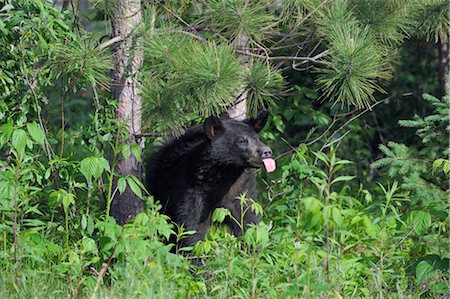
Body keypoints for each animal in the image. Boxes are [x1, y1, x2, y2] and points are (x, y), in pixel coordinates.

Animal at [146, 111, 276, 247]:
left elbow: (247, 219)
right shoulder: (192, 189)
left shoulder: (240, 189)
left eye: (258, 139)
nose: (267, 151)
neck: (225, 174)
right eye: (242, 140)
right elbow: (192, 225)